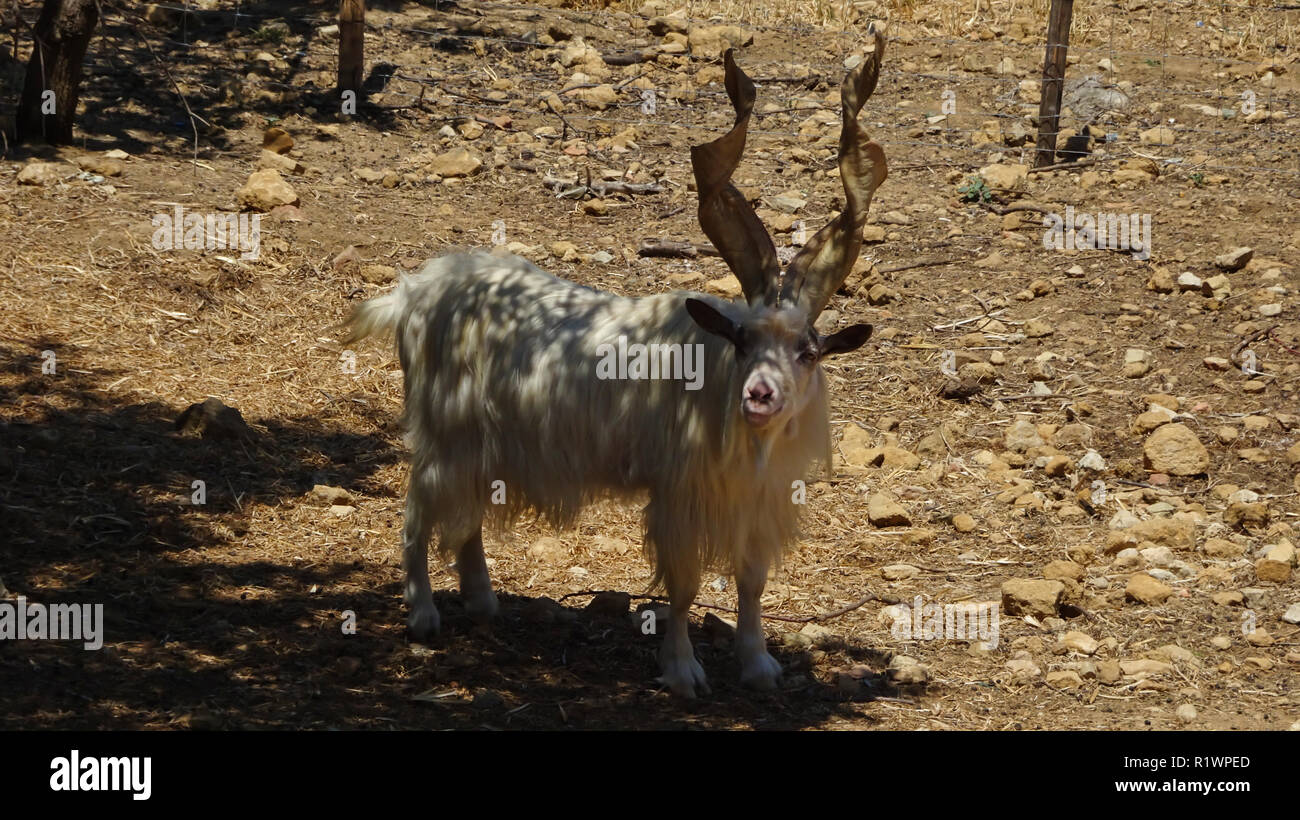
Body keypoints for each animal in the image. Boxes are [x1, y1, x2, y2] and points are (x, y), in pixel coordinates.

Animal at [345, 33, 889, 701]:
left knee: (466, 516)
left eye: (807, 352)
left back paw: (483, 603)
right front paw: (683, 671)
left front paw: (759, 664)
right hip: (442, 432)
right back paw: (423, 614)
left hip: (481, 443)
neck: (715, 386)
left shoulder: (755, 502)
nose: (760, 397)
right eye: (741, 342)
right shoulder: (679, 494)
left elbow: (752, 579)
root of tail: (413, 293)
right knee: (417, 510)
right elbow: (684, 586)